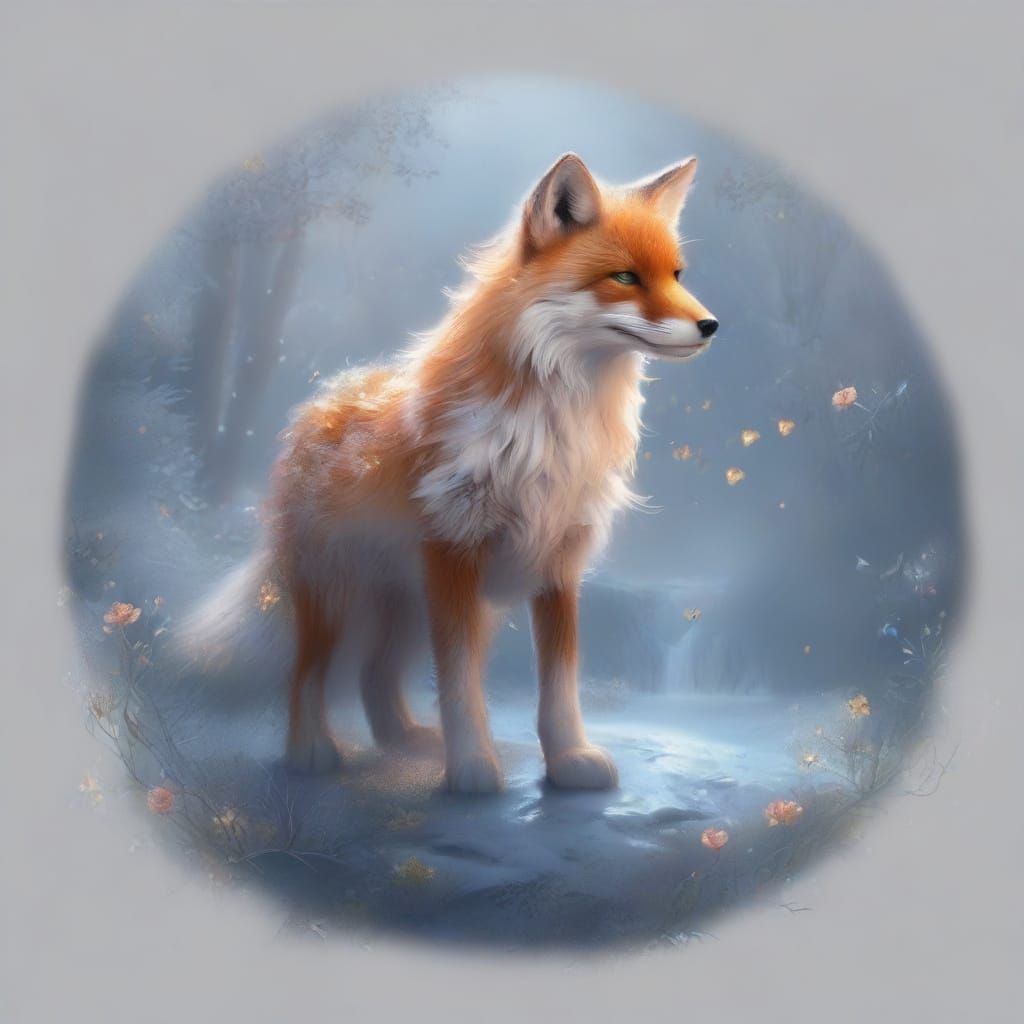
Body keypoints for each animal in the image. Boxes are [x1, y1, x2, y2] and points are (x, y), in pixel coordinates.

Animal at [183, 152, 718, 794]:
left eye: (677, 275)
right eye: (625, 278)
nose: (711, 325)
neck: (551, 429)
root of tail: (325, 399)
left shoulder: (557, 562)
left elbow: (559, 685)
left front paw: (567, 759)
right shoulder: (455, 552)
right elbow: (461, 684)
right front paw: (471, 771)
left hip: (413, 609)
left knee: (375, 675)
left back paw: (405, 741)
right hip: (341, 594)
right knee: (307, 671)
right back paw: (310, 751)